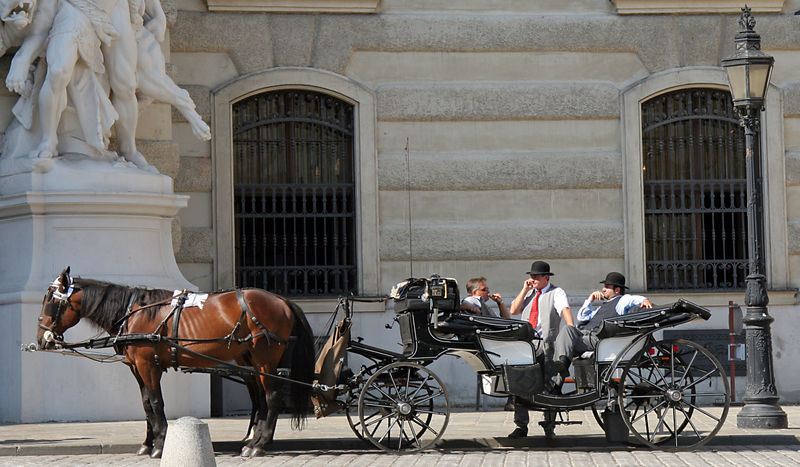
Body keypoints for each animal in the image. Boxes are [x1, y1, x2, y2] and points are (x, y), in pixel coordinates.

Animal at [37, 266, 314, 458]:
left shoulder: (148, 366)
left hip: (265, 360)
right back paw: (252, 441)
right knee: (260, 400)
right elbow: (146, 404)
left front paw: (160, 444)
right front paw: (147, 443)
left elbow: (156, 402)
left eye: (50, 300)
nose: (41, 337)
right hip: (251, 361)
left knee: (272, 399)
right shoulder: (136, 367)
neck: (133, 312)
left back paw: (259, 445)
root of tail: (282, 300)